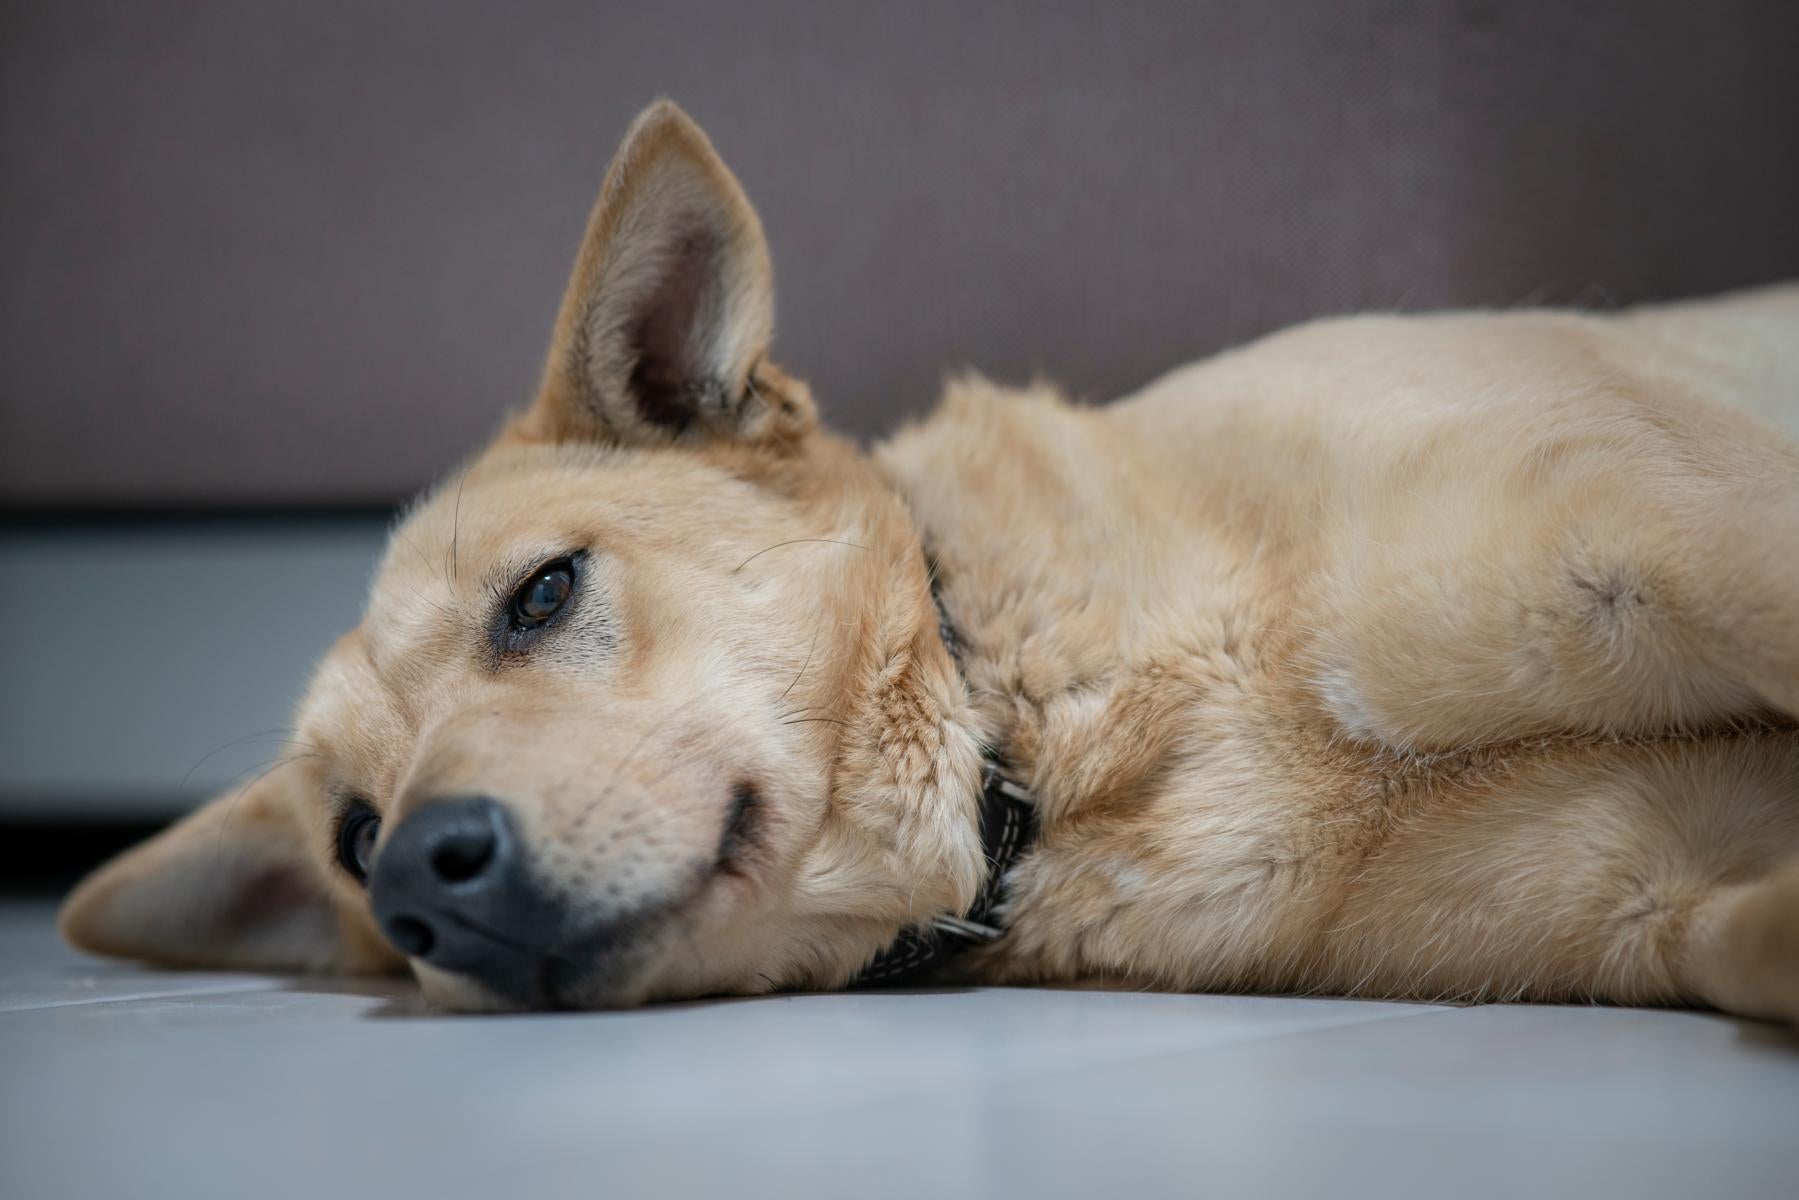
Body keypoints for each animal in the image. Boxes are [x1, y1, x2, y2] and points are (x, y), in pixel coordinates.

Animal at [59, 103, 1799, 1021]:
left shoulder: (1671, 534)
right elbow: (1738, 927)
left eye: (541, 594)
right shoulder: (1661, 891)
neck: (1046, 729)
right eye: (352, 839)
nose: (417, 878)